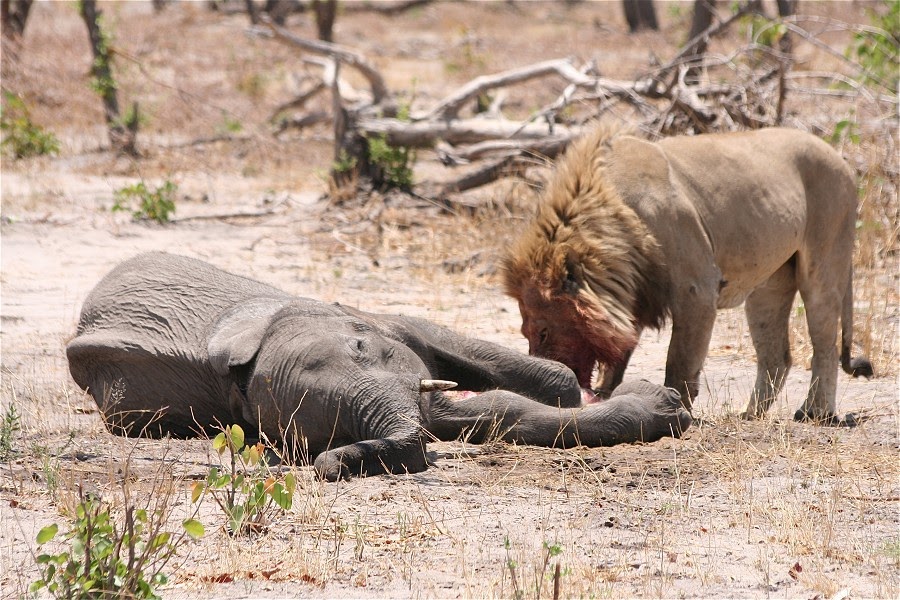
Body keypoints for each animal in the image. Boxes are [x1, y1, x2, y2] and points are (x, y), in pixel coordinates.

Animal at [67, 252, 692, 480]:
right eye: (319, 433)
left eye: (362, 348)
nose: (331, 462)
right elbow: (498, 416)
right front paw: (664, 407)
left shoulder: (379, 320)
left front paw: (662, 404)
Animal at [502, 123, 872, 422]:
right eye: (524, 332)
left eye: (544, 332)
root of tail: (840, 158)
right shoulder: (636, 293)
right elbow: (619, 354)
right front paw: (608, 396)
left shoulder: (698, 291)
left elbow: (679, 361)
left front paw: (674, 406)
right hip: (770, 283)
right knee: (777, 355)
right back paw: (749, 415)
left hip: (825, 259)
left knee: (824, 343)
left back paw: (815, 412)